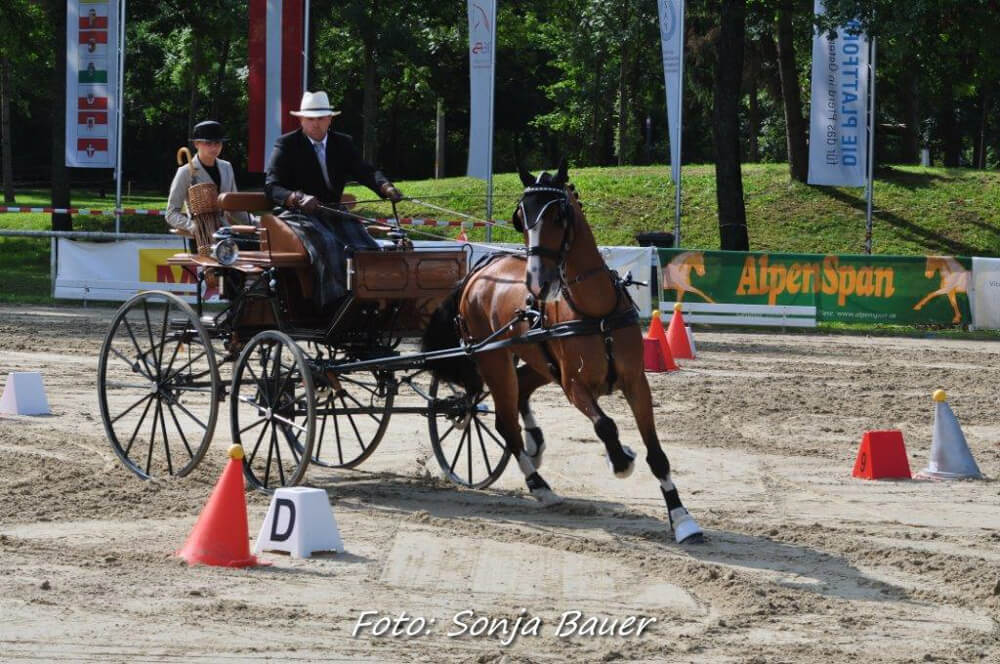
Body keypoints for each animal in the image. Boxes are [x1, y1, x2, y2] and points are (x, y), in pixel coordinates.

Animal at [421, 160, 702, 544]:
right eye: (521, 218)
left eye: (559, 215)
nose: (538, 283)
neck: (596, 312)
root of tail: (479, 271)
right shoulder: (574, 386)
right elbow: (606, 425)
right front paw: (621, 459)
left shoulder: (636, 383)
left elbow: (656, 453)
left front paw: (682, 518)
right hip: (494, 360)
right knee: (503, 420)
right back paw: (539, 485)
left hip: (535, 362)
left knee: (520, 395)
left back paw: (534, 444)